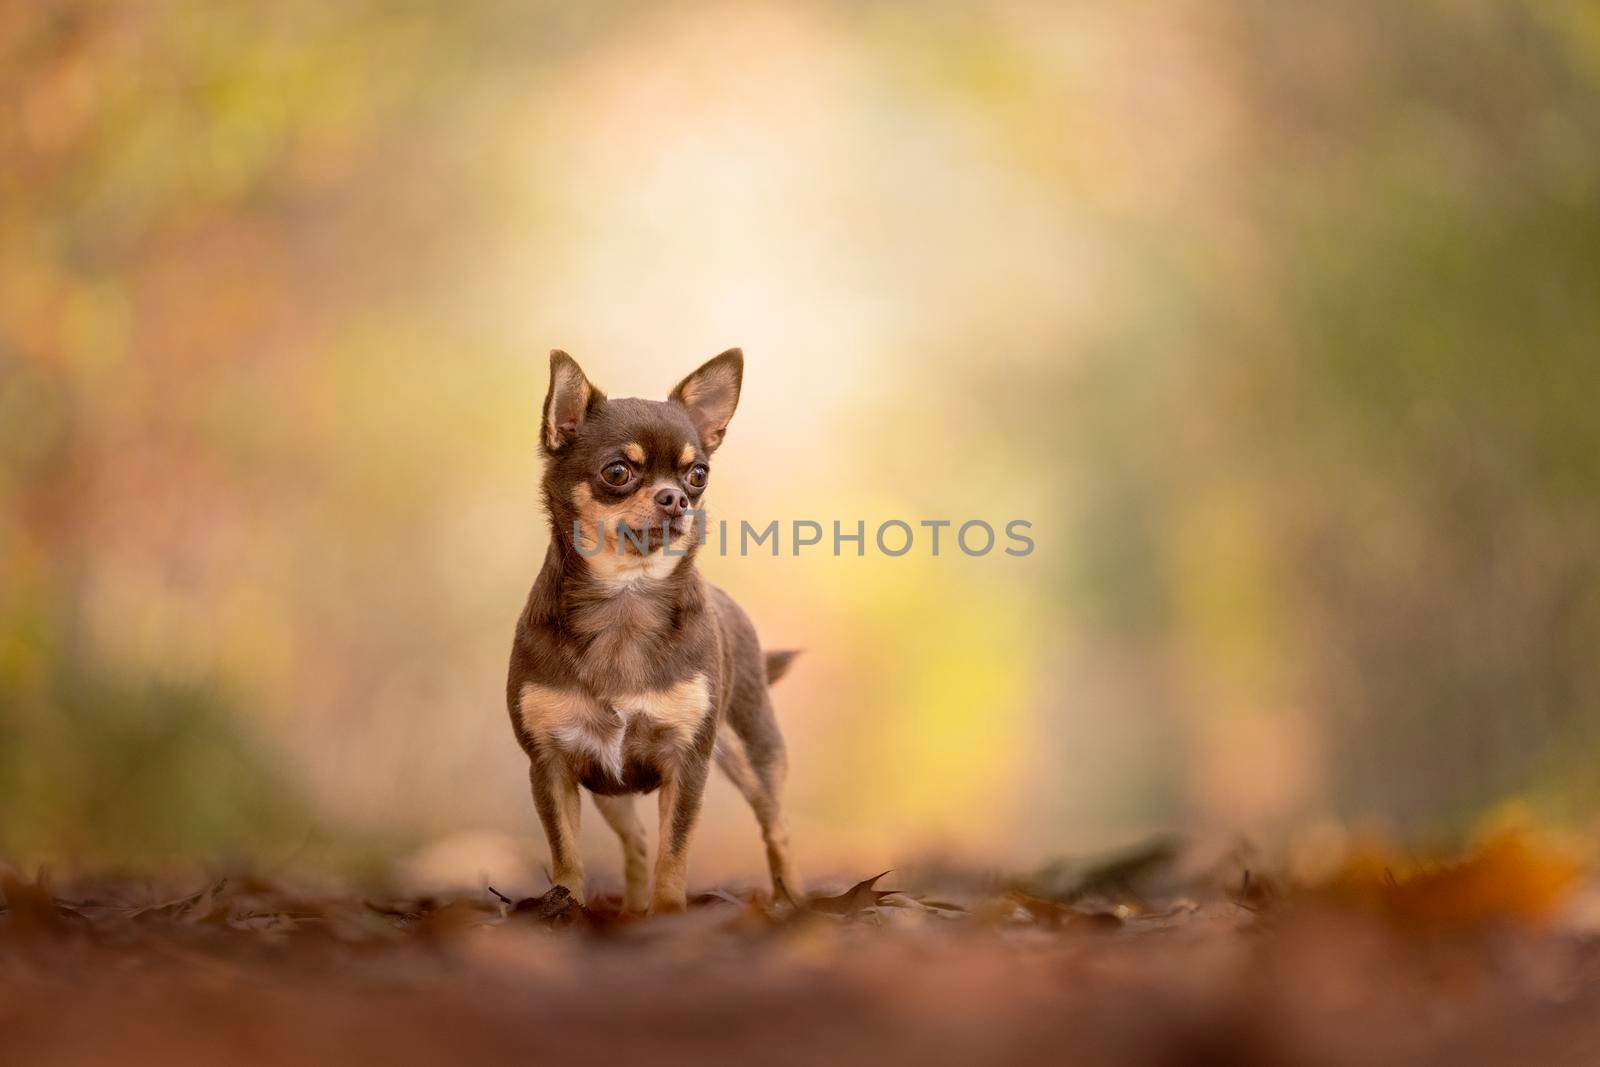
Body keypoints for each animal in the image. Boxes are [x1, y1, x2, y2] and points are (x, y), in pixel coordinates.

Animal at [505, 351, 800, 921]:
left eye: (698, 474)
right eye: (617, 471)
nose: (676, 498)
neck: (628, 597)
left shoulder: (687, 765)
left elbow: (675, 851)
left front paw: (668, 913)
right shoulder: (551, 766)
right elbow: (567, 853)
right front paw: (565, 909)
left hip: (756, 753)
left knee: (777, 829)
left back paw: (793, 900)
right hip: (609, 787)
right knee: (637, 840)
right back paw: (629, 913)